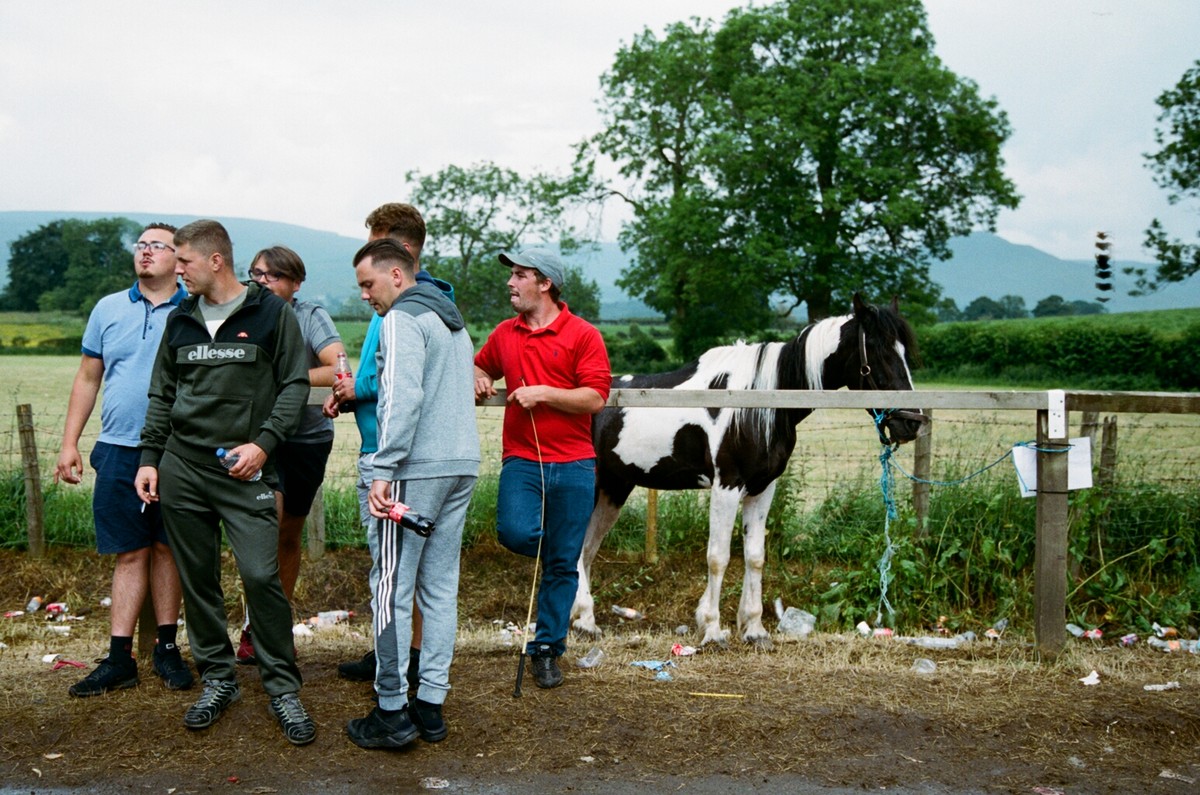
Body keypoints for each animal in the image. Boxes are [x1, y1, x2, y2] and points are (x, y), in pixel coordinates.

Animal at [571, 295, 926, 653]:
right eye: (878, 352)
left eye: (904, 351)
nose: (911, 422)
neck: (759, 403)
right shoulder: (726, 487)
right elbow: (718, 557)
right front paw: (712, 630)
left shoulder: (762, 488)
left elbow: (755, 556)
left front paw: (754, 629)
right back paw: (585, 620)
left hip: (614, 490)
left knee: (585, 549)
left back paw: (582, 618)